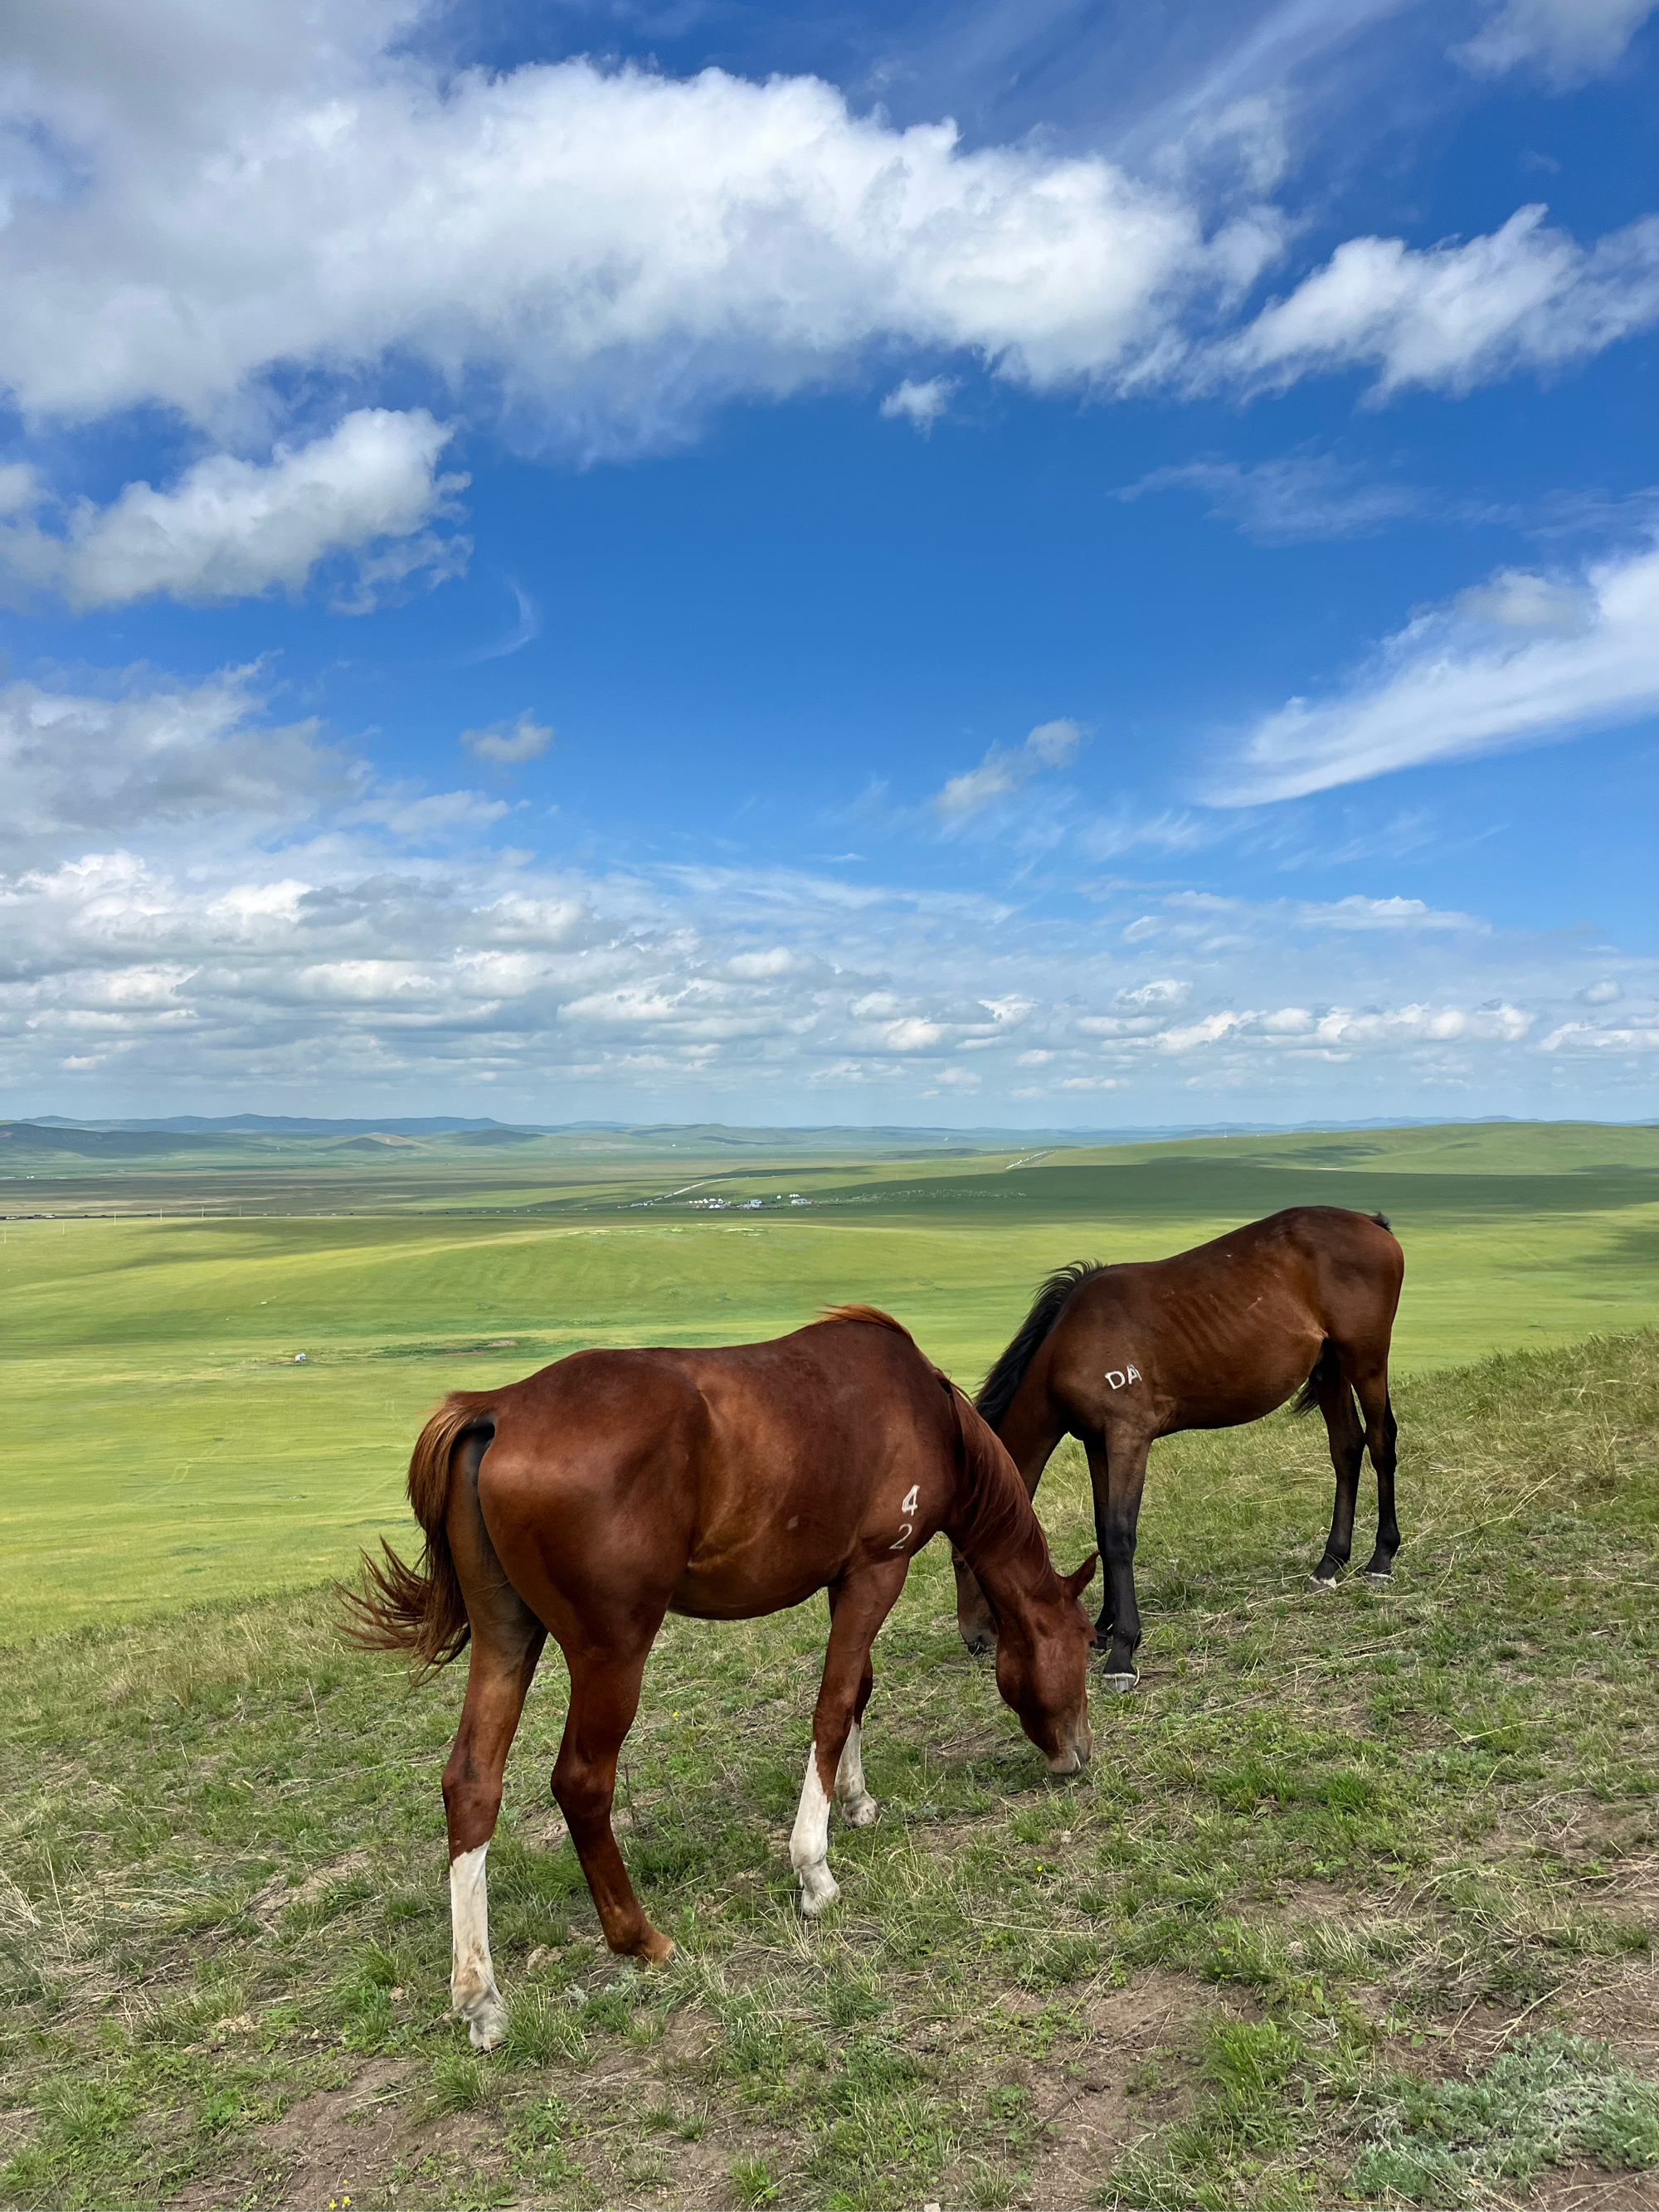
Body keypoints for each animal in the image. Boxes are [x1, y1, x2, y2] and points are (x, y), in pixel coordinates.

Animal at [347, 1300, 1106, 2044]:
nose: (1079, 1753)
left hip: (507, 1637)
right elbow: (834, 1705)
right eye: (1083, 1638)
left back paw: (481, 1997)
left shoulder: (845, 1582)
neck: (926, 1409)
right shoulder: (875, 1572)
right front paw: (814, 1869)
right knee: (582, 1783)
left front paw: (856, 1801)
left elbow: (856, 1690)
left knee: (472, 1784)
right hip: (612, 1653)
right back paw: (642, 1939)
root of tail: (497, 1408)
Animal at [956, 1212, 1407, 1689]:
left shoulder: (1128, 1438)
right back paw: (1329, 1564)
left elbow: (1120, 1536)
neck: (1068, 1345)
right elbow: (1102, 1528)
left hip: (1365, 1360)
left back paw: (1381, 1559)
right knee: (1346, 1448)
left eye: (963, 1562)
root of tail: (1371, 1223)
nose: (974, 1639)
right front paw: (1104, 1626)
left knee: (1380, 1443)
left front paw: (1123, 1651)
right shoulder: (1097, 1443)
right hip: (1328, 1369)